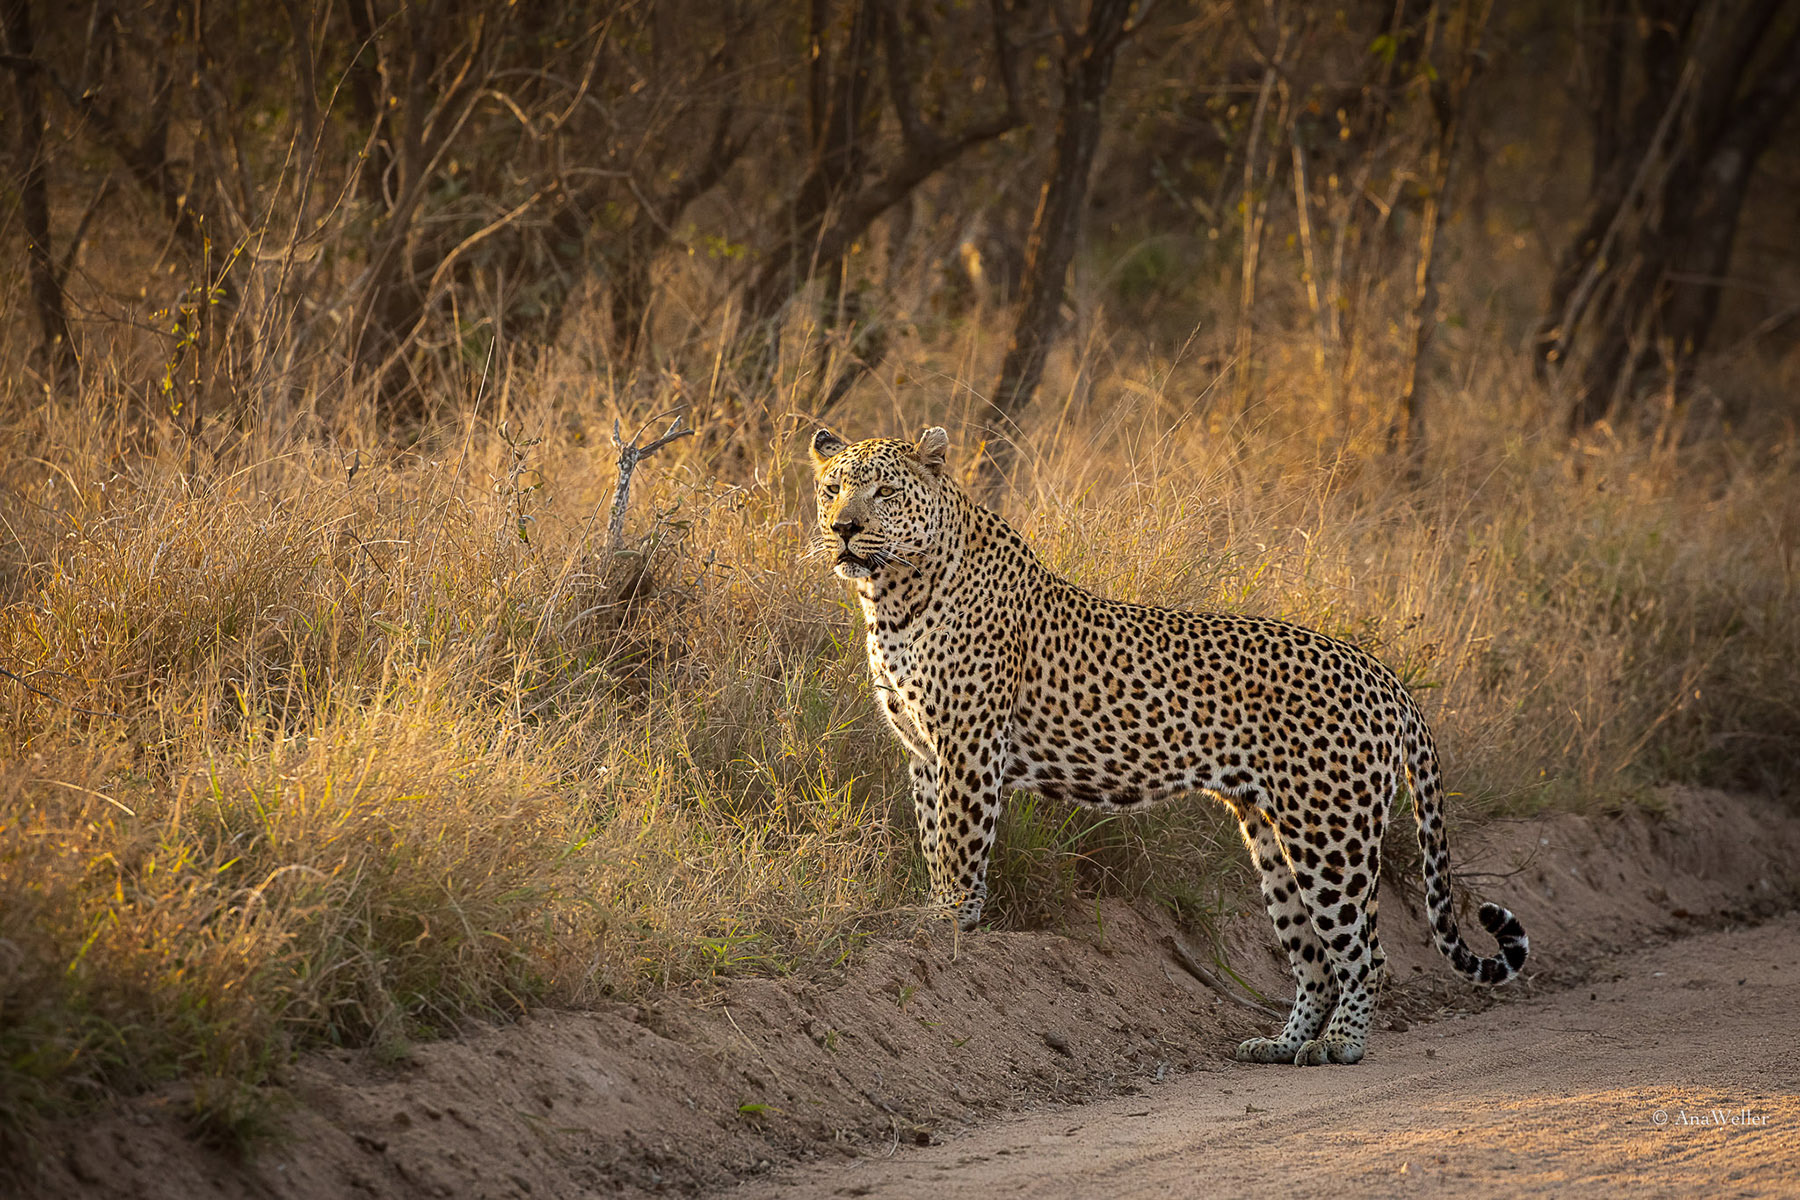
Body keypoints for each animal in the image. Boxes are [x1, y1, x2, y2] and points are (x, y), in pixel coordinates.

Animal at [809, 425, 1529, 1066]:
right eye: (833, 487)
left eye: (883, 491)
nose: (843, 527)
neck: (891, 596)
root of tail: (1384, 674)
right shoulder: (923, 753)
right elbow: (934, 838)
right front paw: (936, 913)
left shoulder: (969, 744)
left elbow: (959, 844)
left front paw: (952, 922)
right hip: (1275, 836)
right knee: (1314, 959)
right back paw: (1281, 1044)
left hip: (1333, 833)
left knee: (1365, 954)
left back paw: (1341, 1045)